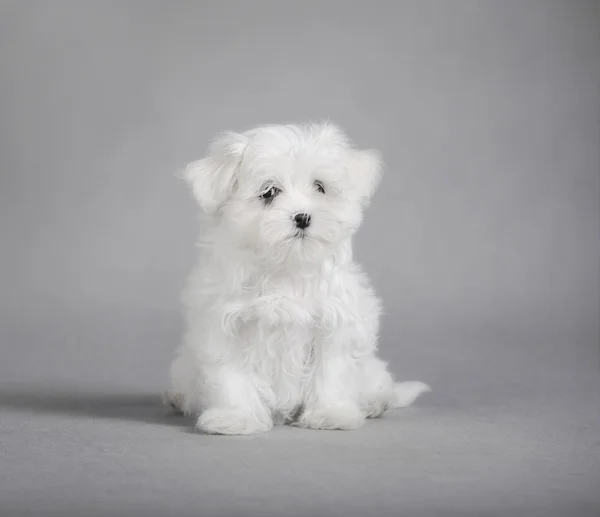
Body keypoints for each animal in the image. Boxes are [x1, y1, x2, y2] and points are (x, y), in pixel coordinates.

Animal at [164, 121, 426, 432]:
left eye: (320, 187)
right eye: (269, 192)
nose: (302, 217)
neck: (287, 267)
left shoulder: (334, 323)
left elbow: (331, 371)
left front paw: (331, 414)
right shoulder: (224, 325)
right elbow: (231, 375)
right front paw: (235, 417)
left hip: (371, 370)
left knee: (378, 384)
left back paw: (373, 404)